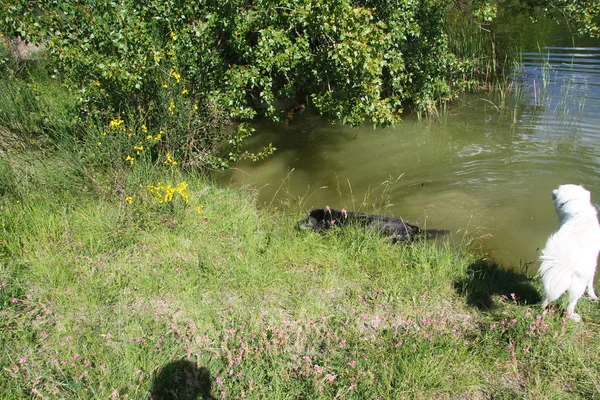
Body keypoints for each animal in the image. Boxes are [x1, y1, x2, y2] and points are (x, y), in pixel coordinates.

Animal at [540, 184, 600, 322]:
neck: (578, 213)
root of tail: (566, 259)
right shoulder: (592, 265)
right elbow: (591, 284)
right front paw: (593, 296)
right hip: (578, 284)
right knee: (571, 304)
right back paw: (574, 317)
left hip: (552, 276)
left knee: (547, 295)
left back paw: (543, 309)